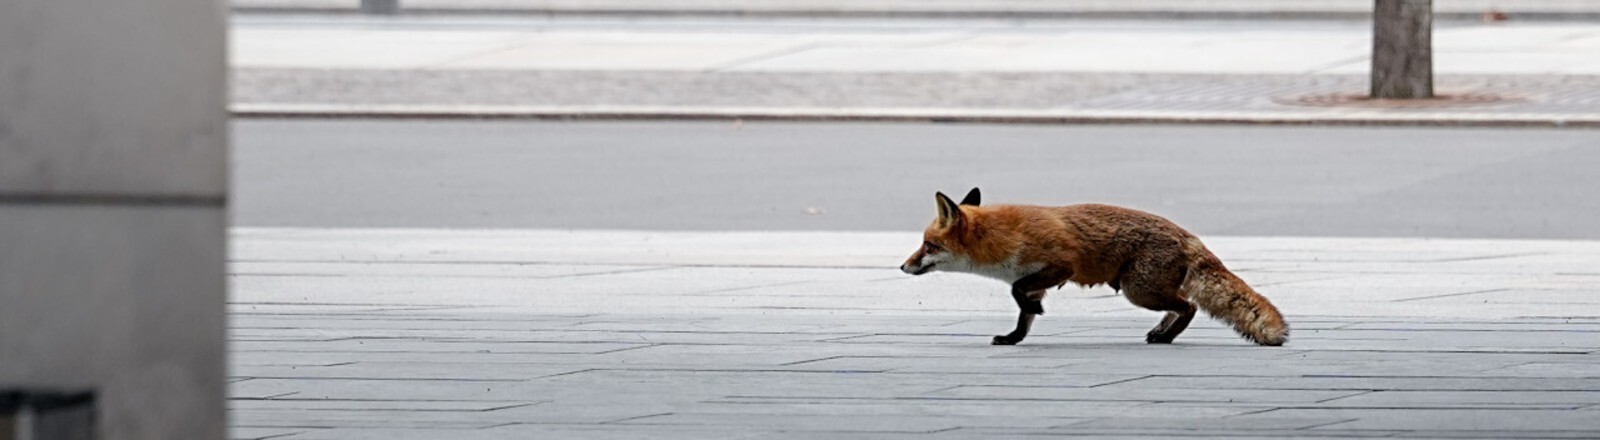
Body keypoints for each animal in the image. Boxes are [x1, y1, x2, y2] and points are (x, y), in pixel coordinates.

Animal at [900, 188, 1288, 346]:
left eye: (928, 246)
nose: (903, 266)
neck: (1001, 239)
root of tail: (1188, 235)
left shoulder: (1061, 265)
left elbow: (1016, 292)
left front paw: (1031, 313)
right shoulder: (1036, 279)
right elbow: (1023, 315)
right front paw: (1013, 338)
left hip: (1139, 291)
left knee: (1189, 306)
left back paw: (1167, 336)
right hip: (1148, 290)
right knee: (1179, 306)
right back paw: (1161, 332)